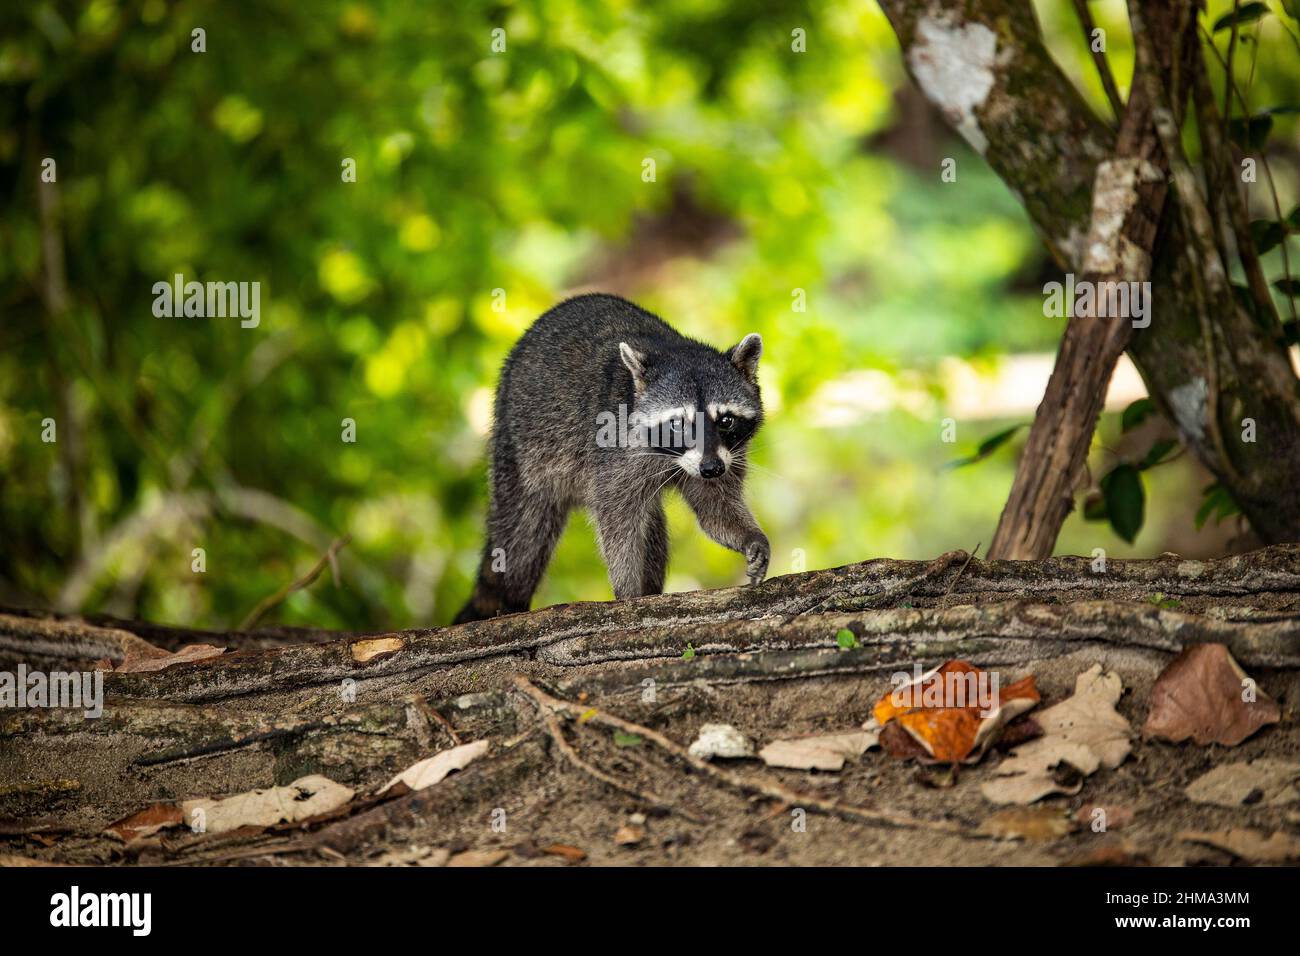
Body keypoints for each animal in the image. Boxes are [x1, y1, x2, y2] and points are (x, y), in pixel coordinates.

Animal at [454, 293, 769, 623]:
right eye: (677, 424)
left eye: (726, 421)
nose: (711, 469)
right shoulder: (613, 450)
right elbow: (617, 522)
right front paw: (627, 591)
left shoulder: (727, 455)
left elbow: (715, 508)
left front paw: (749, 536)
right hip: (518, 450)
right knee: (521, 540)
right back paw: (508, 601)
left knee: (652, 528)